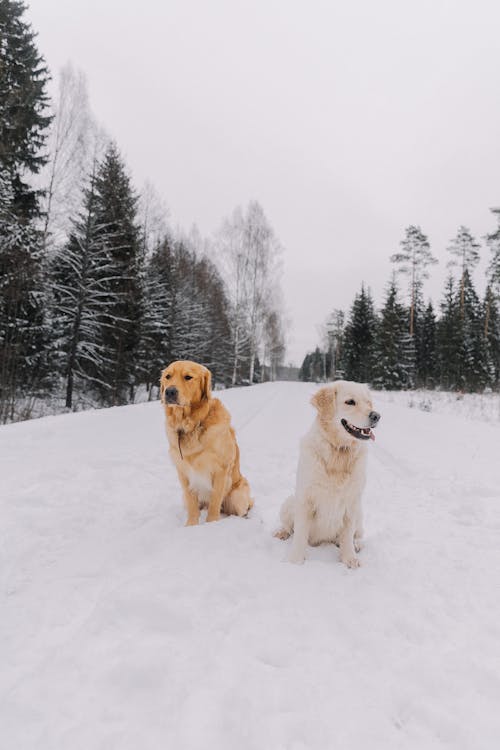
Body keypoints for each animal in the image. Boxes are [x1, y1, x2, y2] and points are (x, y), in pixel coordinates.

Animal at [274, 384, 378, 568]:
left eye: (368, 402)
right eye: (350, 402)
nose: (376, 416)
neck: (339, 452)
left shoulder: (352, 501)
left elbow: (347, 534)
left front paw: (349, 559)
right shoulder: (305, 498)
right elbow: (300, 534)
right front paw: (294, 561)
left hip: (360, 512)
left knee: (357, 534)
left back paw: (357, 545)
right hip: (289, 502)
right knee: (289, 527)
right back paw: (282, 533)